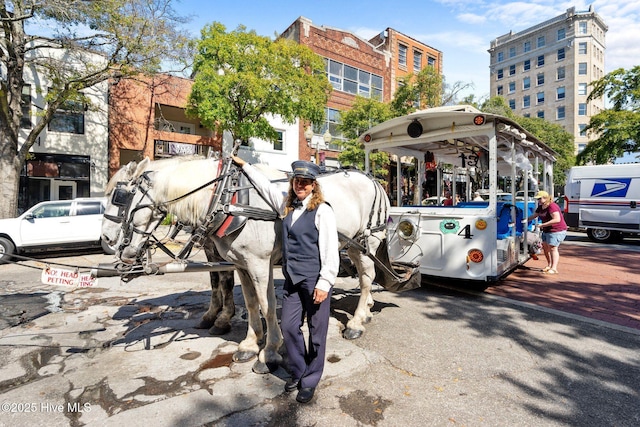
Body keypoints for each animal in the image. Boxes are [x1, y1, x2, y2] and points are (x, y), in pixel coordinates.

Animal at [102, 157, 238, 338]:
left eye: (118, 196)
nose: (105, 236)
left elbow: (226, 279)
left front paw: (224, 319)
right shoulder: (210, 248)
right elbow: (215, 279)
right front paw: (211, 315)